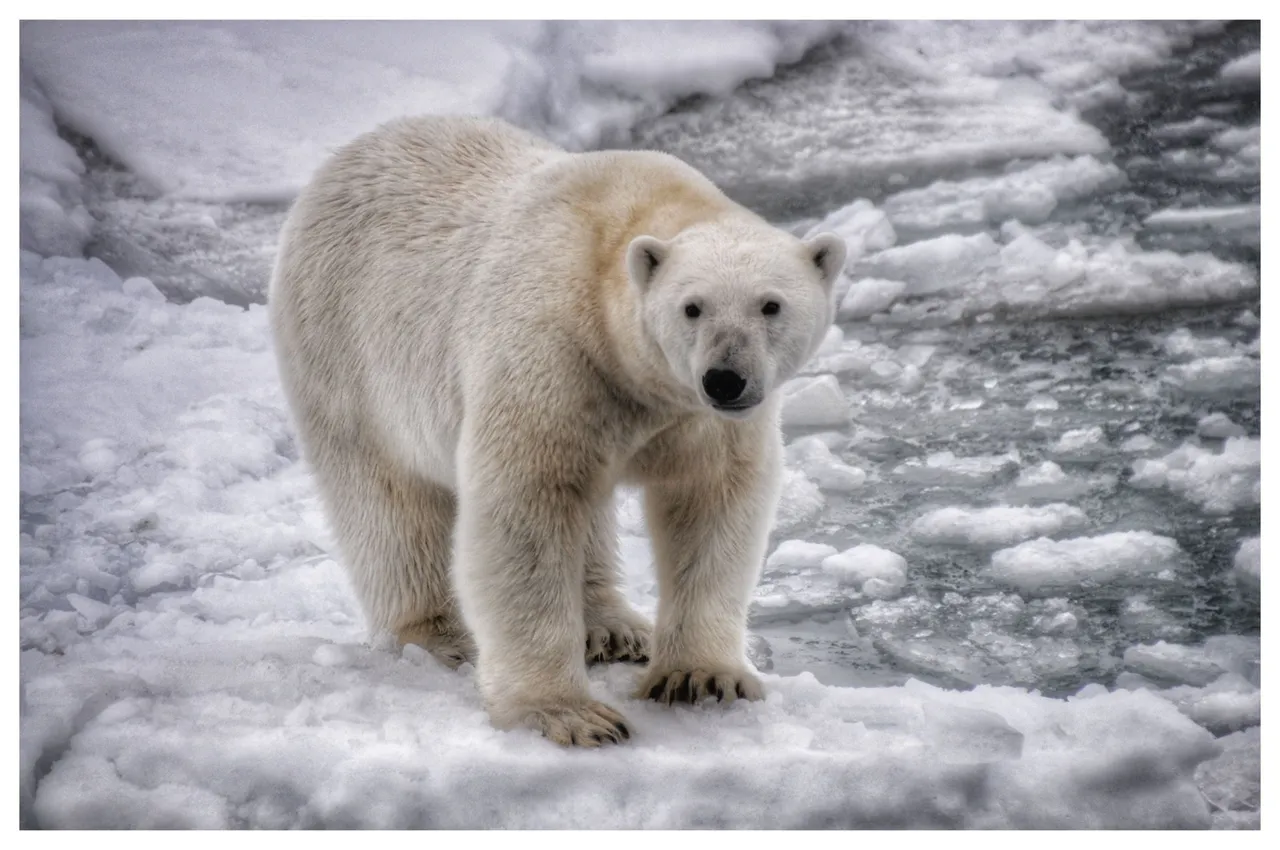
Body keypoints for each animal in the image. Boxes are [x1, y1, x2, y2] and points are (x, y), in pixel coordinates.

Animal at [268, 114, 844, 742]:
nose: (725, 379)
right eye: (692, 307)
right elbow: (526, 512)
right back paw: (440, 635)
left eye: (771, 305)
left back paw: (612, 627)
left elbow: (712, 505)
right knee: (389, 503)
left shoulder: (694, 418)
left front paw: (701, 677)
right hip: (345, 351)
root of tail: (343, 158)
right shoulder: (553, 355)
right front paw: (569, 714)